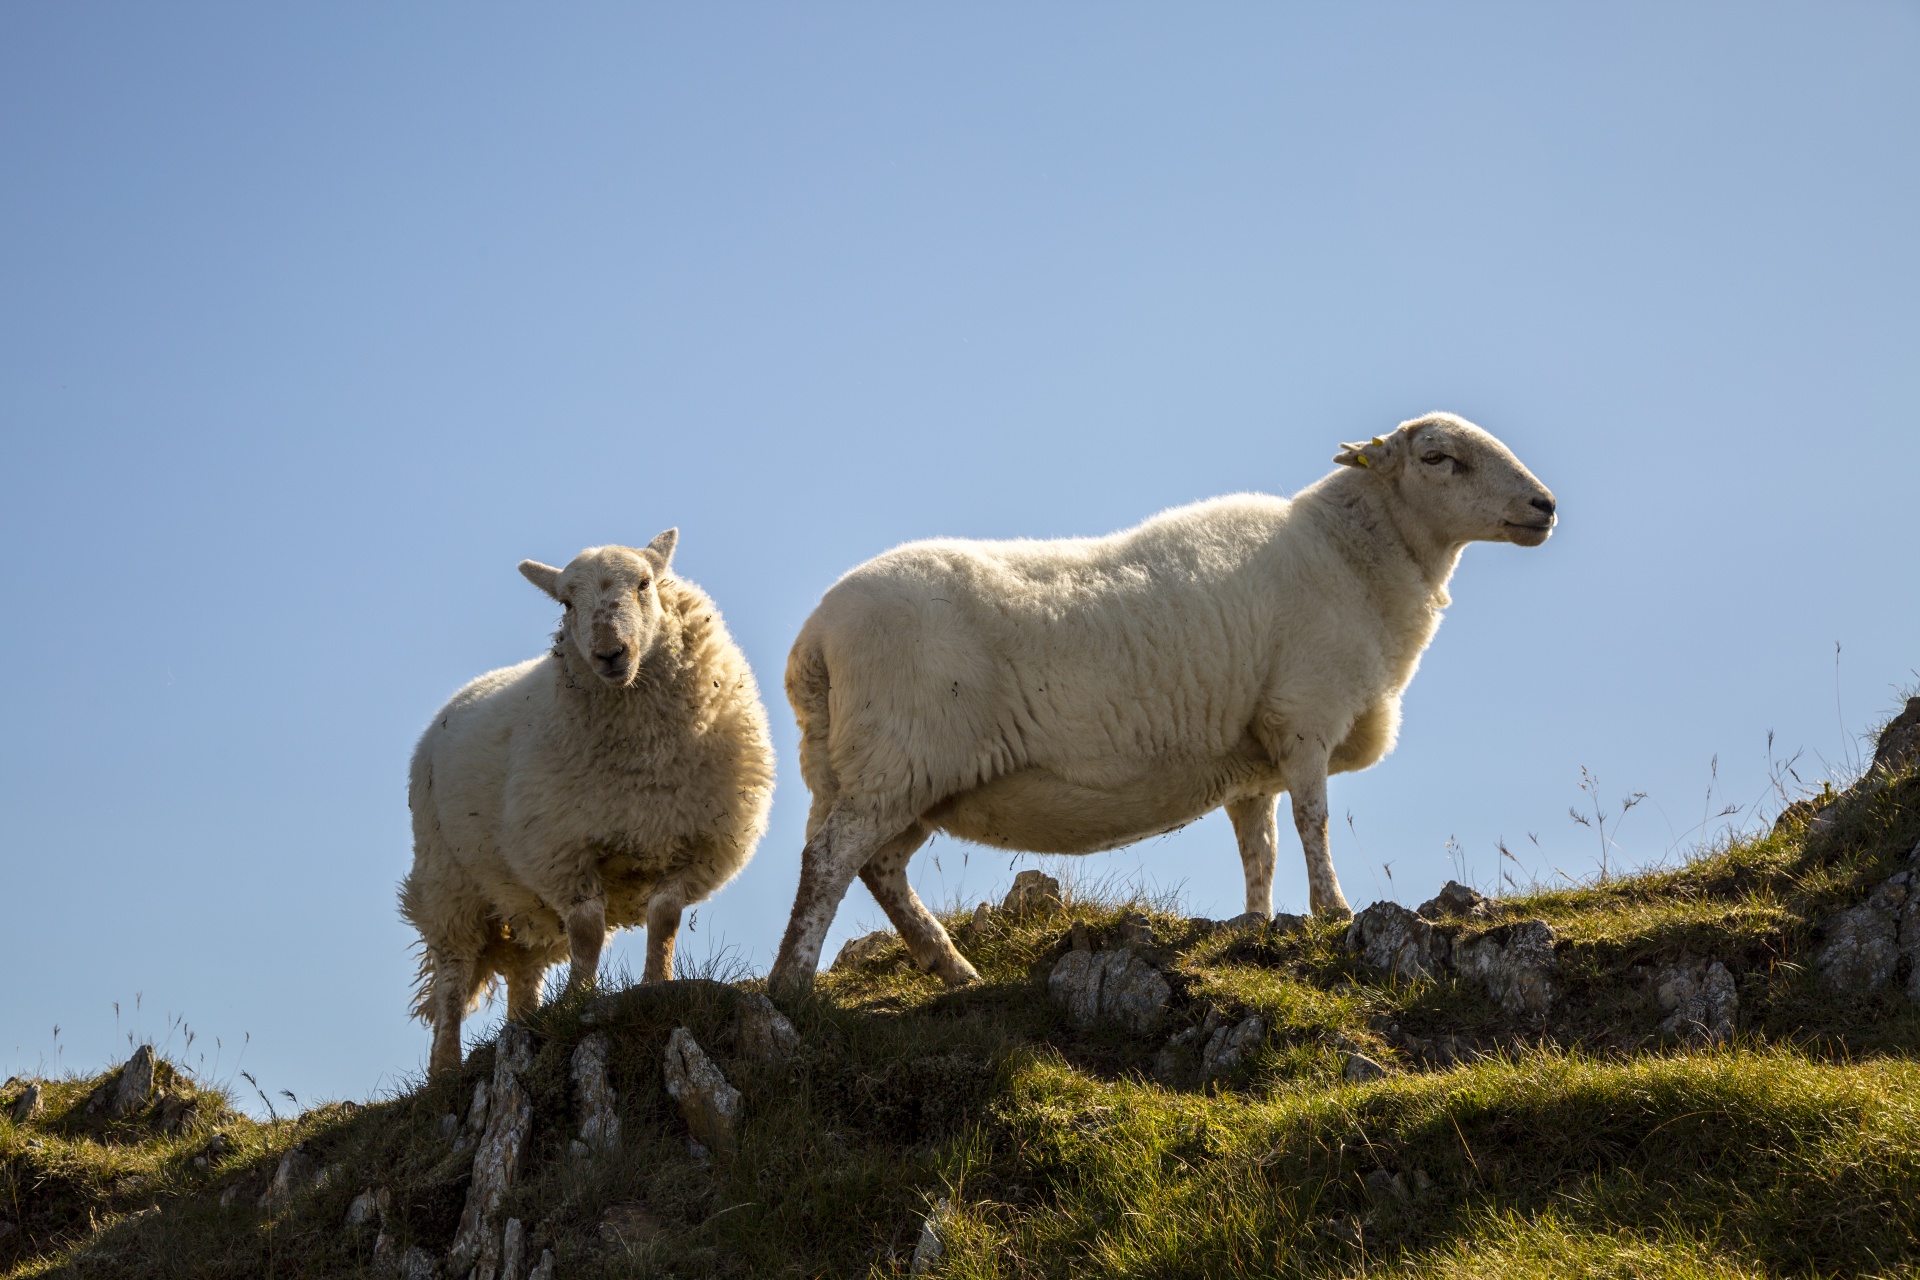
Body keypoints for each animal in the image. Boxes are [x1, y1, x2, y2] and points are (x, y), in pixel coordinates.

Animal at [401, 525, 775, 1074]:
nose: (609, 653)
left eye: (644, 583)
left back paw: (523, 1025)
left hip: (519, 897)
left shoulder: (697, 844)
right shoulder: (561, 848)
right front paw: (580, 1000)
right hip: (448, 878)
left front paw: (656, 984)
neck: (644, 760)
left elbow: (664, 918)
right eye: (566, 602)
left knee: (523, 967)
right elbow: (587, 932)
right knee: (453, 975)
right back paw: (446, 1066)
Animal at [771, 416, 1551, 997]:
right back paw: (790, 985)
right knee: (829, 862)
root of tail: (815, 642)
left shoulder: (1254, 758)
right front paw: (1333, 910)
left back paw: (952, 969)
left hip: (884, 775)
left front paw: (1258, 923)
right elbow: (1314, 821)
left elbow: (1259, 848)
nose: (1544, 507)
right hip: (896, 761)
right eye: (1438, 456)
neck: (1355, 558)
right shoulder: (1303, 715)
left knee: (876, 868)